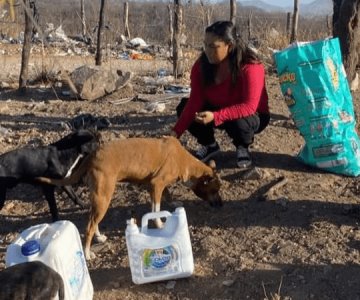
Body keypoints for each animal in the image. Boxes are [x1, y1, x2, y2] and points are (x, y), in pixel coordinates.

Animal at [37, 137, 222, 258]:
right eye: (215, 190)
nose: (221, 204)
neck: (183, 161)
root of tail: (92, 154)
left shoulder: (155, 185)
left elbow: (167, 194)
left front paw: (173, 201)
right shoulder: (156, 184)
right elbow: (156, 209)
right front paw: (159, 223)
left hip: (99, 198)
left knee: (93, 221)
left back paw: (99, 237)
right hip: (104, 196)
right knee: (89, 226)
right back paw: (88, 254)